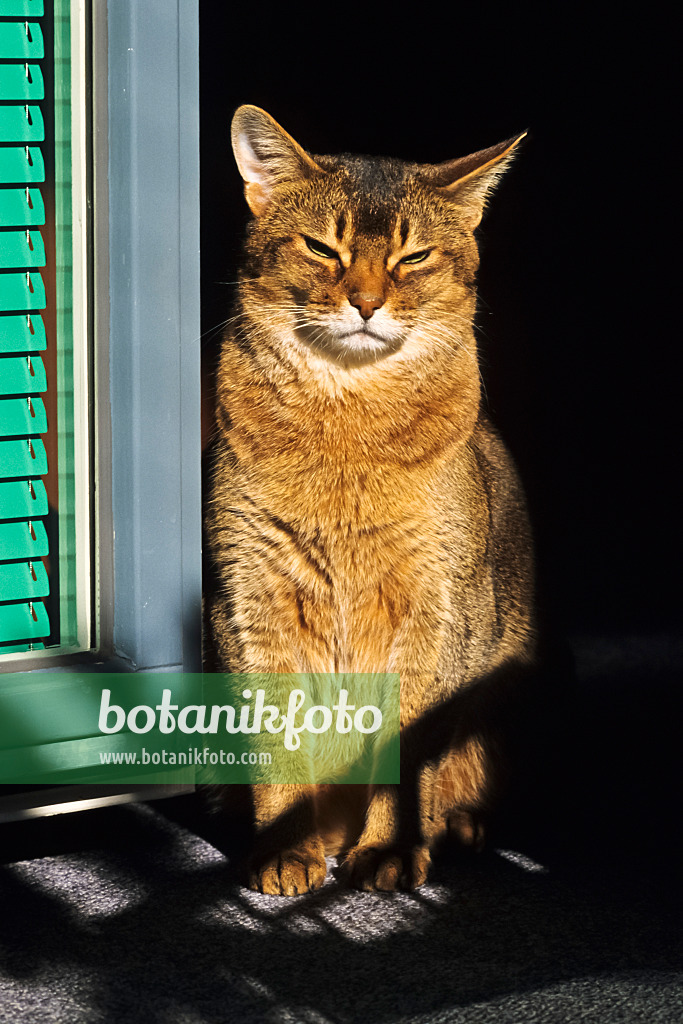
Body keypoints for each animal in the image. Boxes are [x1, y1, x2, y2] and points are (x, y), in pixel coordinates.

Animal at [204, 99, 540, 892]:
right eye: (321, 248)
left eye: (412, 258)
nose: (364, 302)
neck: (346, 431)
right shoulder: (249, 600)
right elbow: (277, 741)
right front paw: (285, 849)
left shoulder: (437, 611)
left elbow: (402, 749)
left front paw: (388, 851)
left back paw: (457, 825)